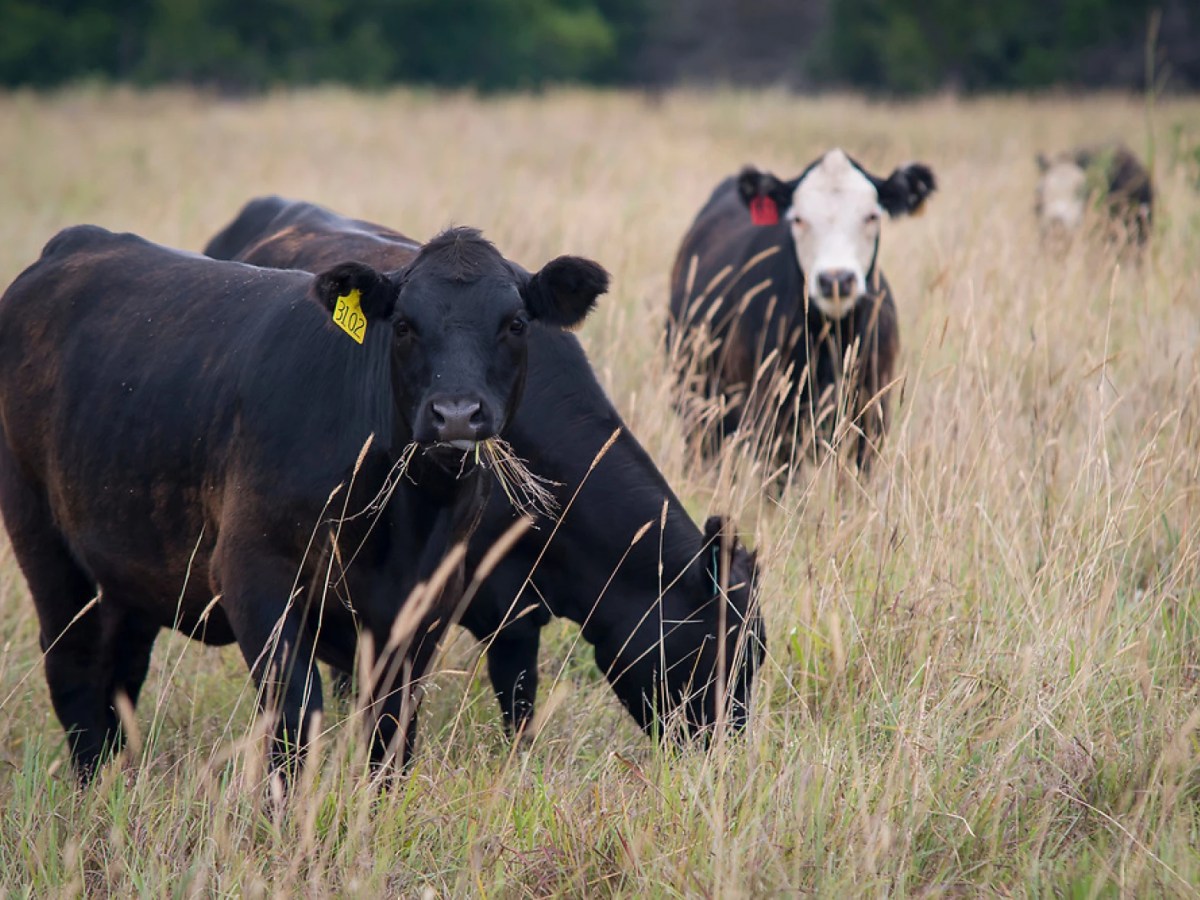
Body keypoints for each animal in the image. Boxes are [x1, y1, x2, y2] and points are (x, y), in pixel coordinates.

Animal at [0, 222, 607, 783]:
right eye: (404, 326)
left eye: (515, 324)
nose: (455, 413)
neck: (402, 522)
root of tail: (77, 242)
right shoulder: (256, 578)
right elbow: (295, 719)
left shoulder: (424, 607)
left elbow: (392, 733)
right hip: (40, 535)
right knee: (73, 665)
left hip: (129, 565)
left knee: (120, 667)